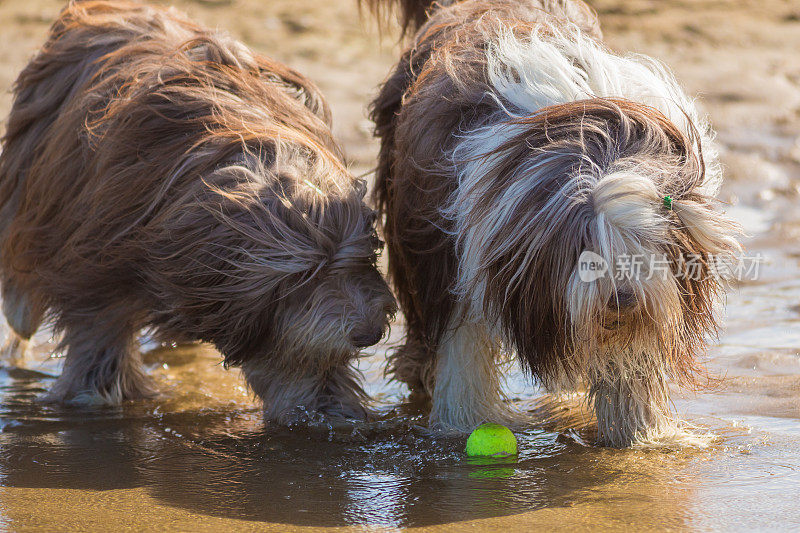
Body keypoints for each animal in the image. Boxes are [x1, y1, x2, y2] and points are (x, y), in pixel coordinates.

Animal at [0, 1, 396, 424]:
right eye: (305, 275)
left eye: (363, 258)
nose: (369, 333)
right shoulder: (97, 263)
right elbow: (97, 330)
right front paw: (93, 395)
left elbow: (299, 357)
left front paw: (328, 410)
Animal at [366, 0, 740, 444]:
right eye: (585, 250)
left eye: (643, 245)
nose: (622, 298)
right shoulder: (459, 261)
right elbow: (462, 349)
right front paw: (465, 423)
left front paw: (639, 437)